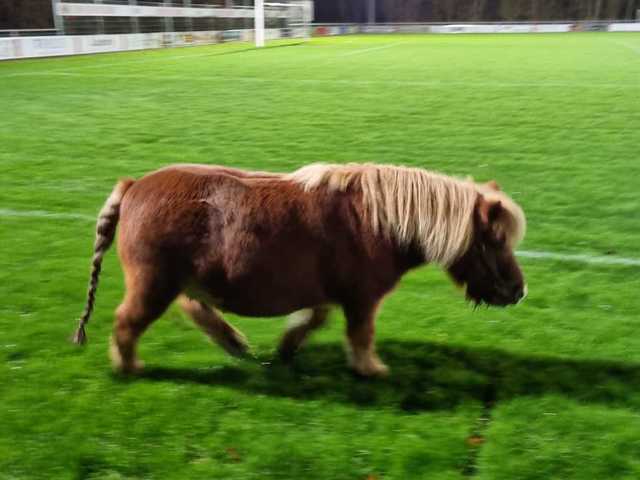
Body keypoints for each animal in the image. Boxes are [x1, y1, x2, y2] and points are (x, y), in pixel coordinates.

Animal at [72, 163, 528, 376]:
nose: (518, 291)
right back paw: (129, 367)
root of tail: (134, 186)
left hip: (182, 281)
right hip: (153, 284)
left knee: (193, 307)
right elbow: (360, 334)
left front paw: (288, 346)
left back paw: (234, 343)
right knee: (128, 322)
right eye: (496, 240)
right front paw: (371, 368)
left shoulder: (327, 292)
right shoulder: (362, 298)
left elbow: (314, 318)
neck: (378, 219)